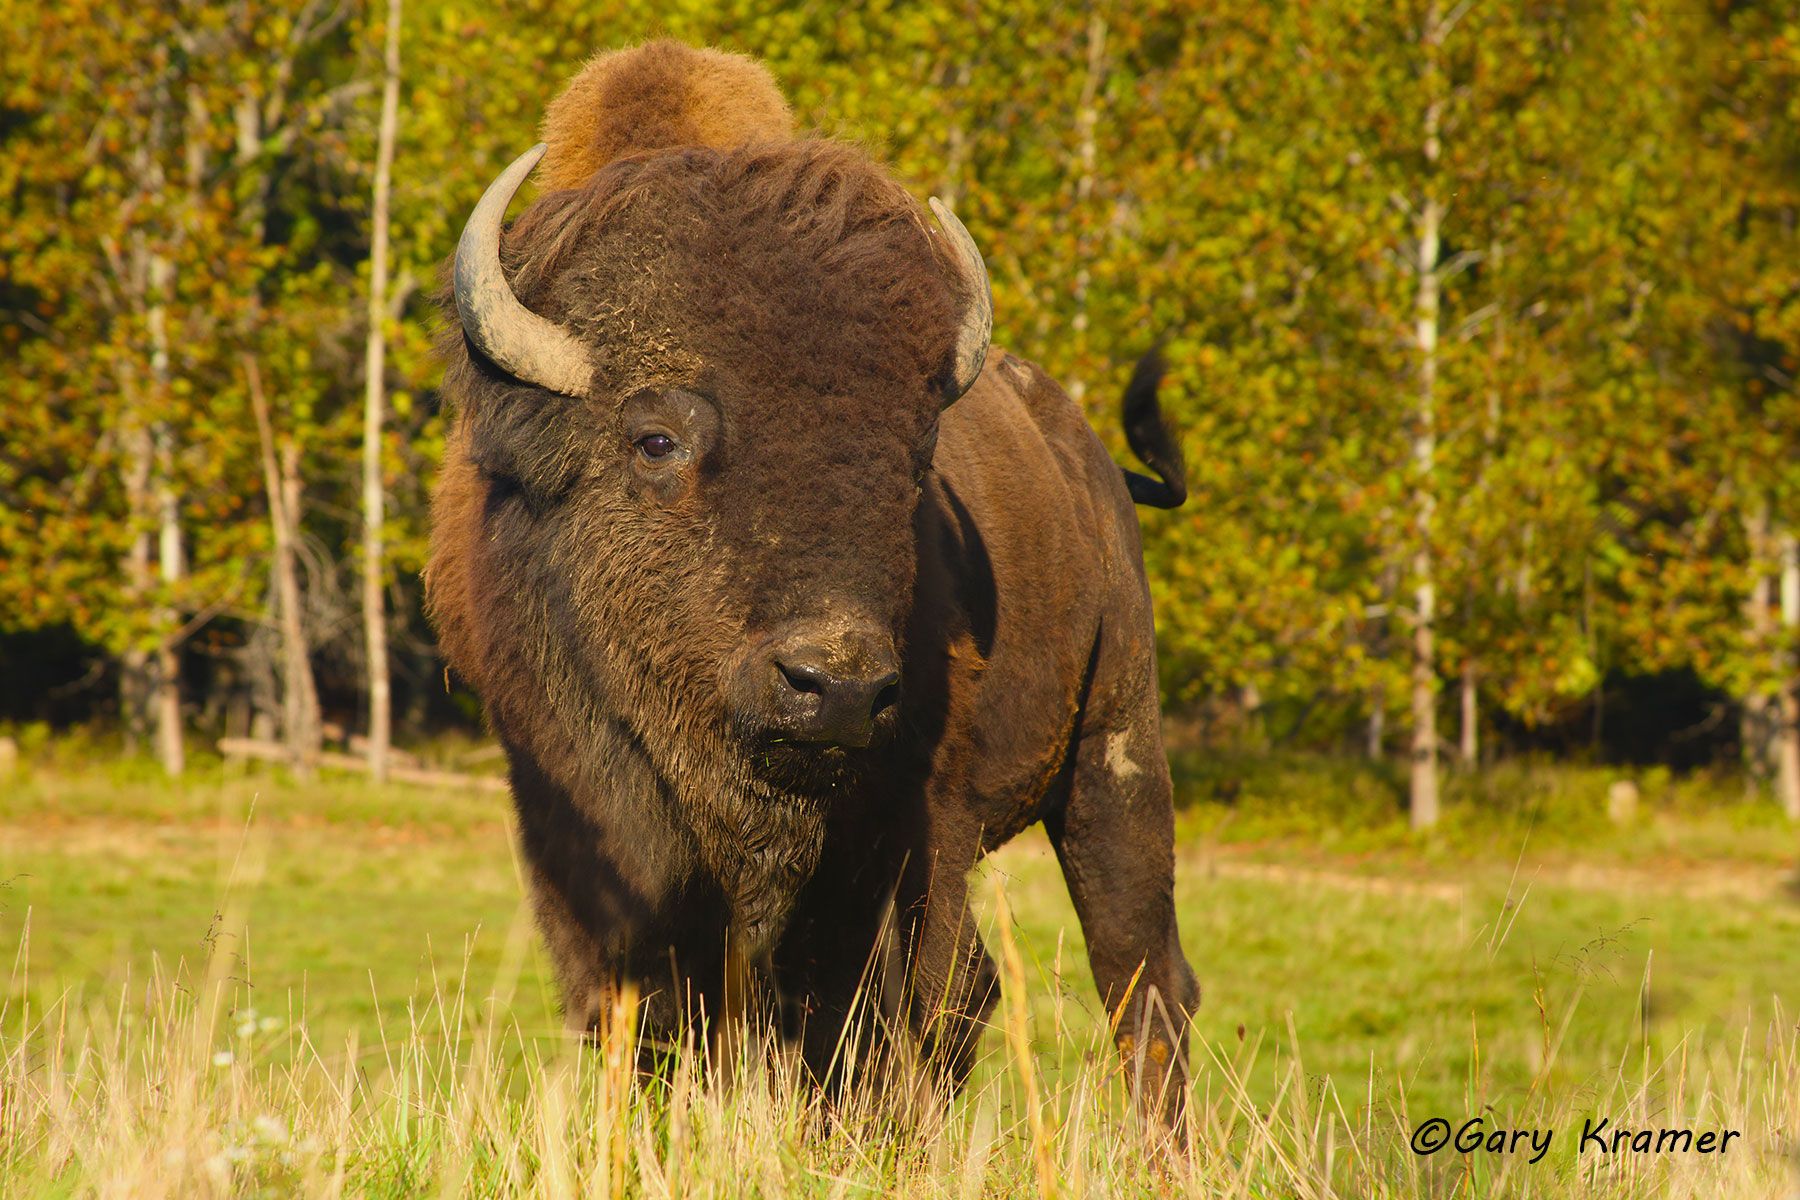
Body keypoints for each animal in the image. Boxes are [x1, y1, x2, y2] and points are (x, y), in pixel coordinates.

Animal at [426, 41, 1198, 1121]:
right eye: (656, 439)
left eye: (912, 458)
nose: (834, 687)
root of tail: (1089, 457)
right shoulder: (575, 821)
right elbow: (649, 1011)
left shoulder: (904, 827)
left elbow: (888, 1007)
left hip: (1115, 751)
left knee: (1134, 977)